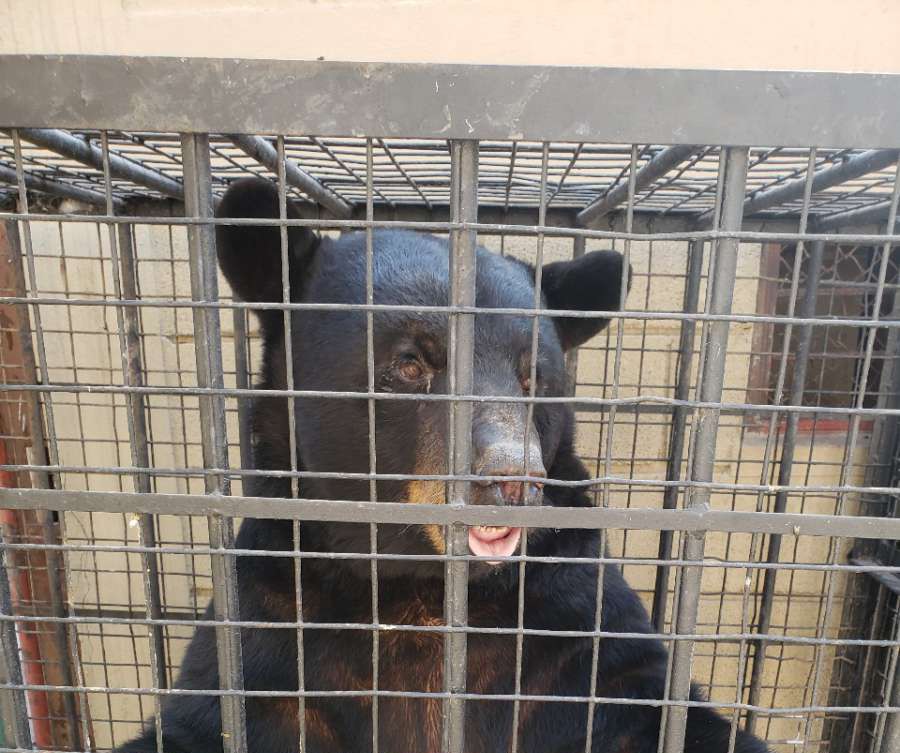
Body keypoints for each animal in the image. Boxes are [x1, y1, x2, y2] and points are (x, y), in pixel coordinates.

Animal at [116, 177, 769, 753]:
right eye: (410, 363)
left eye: (536, 377)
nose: (513, 480)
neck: (420, 587)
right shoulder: (274, 626)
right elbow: (203, 721)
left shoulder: (569, 628)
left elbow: (651, 704)